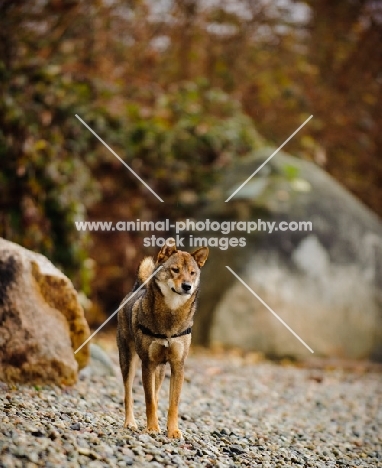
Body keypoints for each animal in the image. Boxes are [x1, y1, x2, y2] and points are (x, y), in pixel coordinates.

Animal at [117, 238, 209, 438]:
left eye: (192, 273)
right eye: (175, 270)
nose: (187, 286)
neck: (170, 316)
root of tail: (137, 288)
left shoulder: (177, 366)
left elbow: (172, 404)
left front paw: (173, 431)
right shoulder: (148, 364)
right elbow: (148, 401)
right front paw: (152, 428)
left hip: (160, 371)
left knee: (157, 394)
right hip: (129, 362)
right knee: (128, 394)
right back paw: (131, 423)